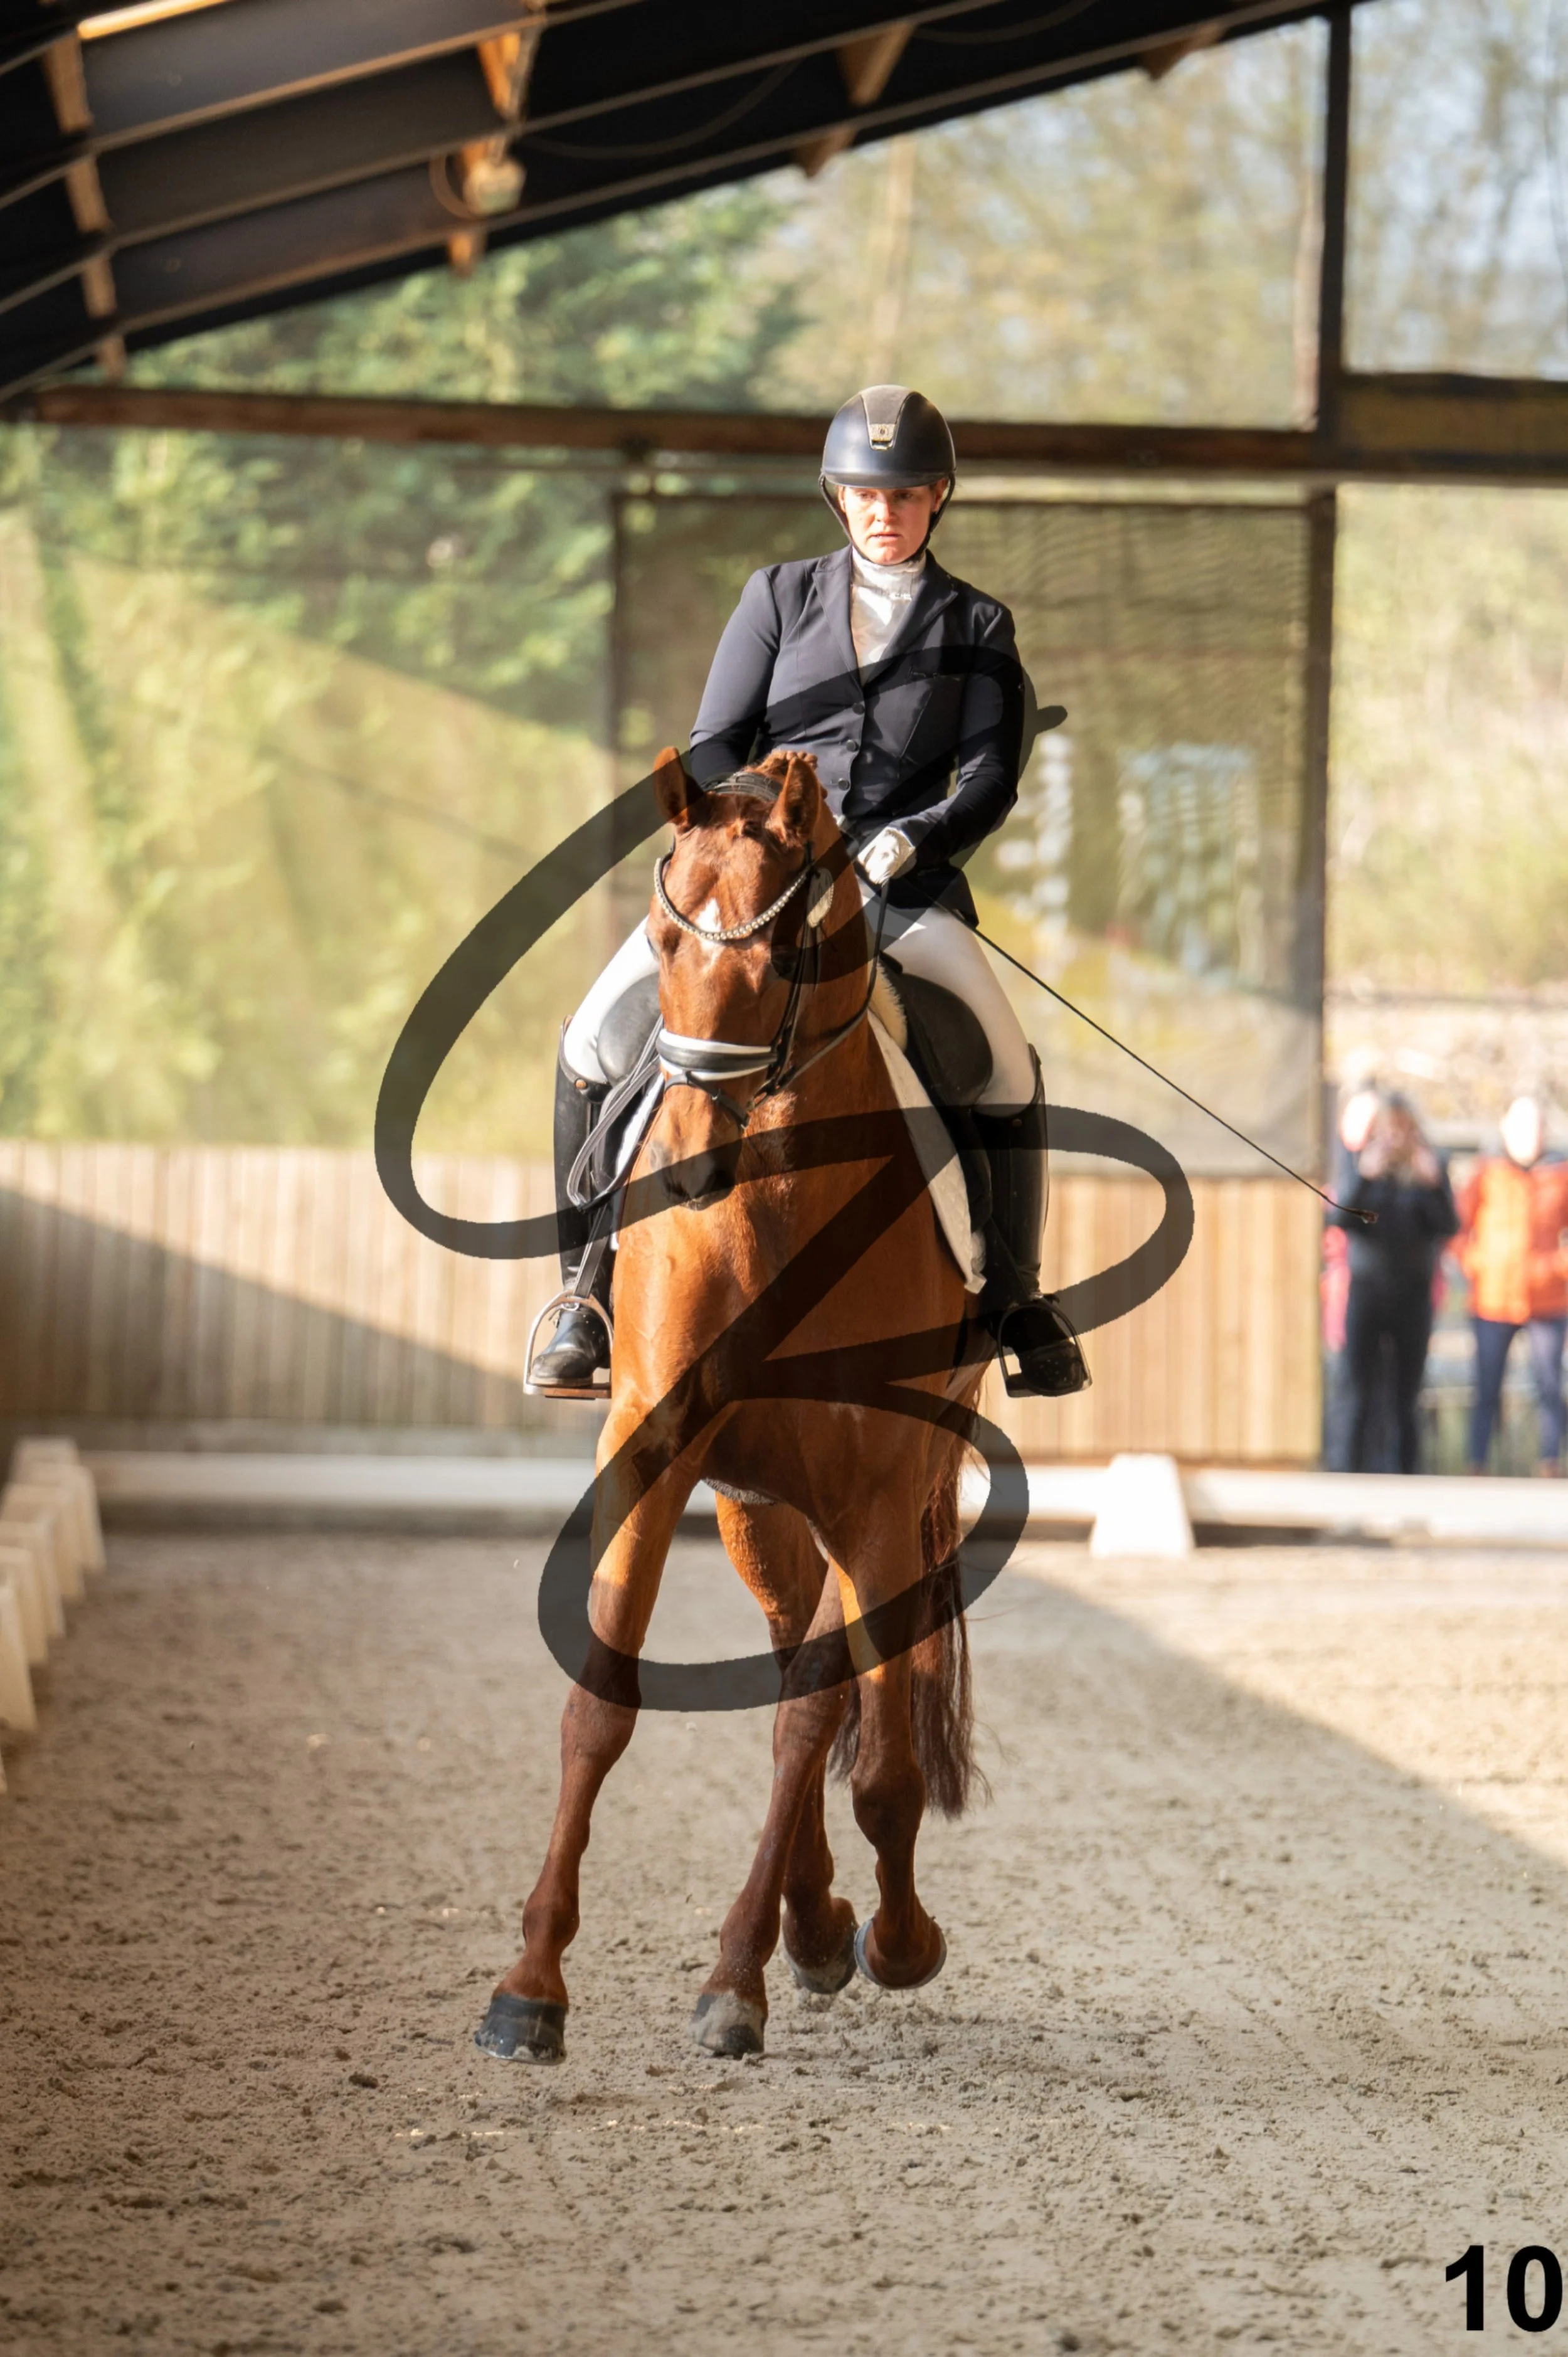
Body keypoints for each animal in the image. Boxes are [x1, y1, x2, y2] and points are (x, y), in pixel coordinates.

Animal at [476, 746, 994, 2064]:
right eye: (665, 937)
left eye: (782, 958)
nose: (698, 1158)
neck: (777, 1197)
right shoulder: (654, 1448)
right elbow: (601, 1697)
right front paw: (529, 1986)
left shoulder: (877, 1488)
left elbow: (819, 1728)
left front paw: (736, 1978)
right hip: (760, 1502)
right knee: (791, 1639)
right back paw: (817, 1919)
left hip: (881, 1497)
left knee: (869, 1715)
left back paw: (875, 1930)